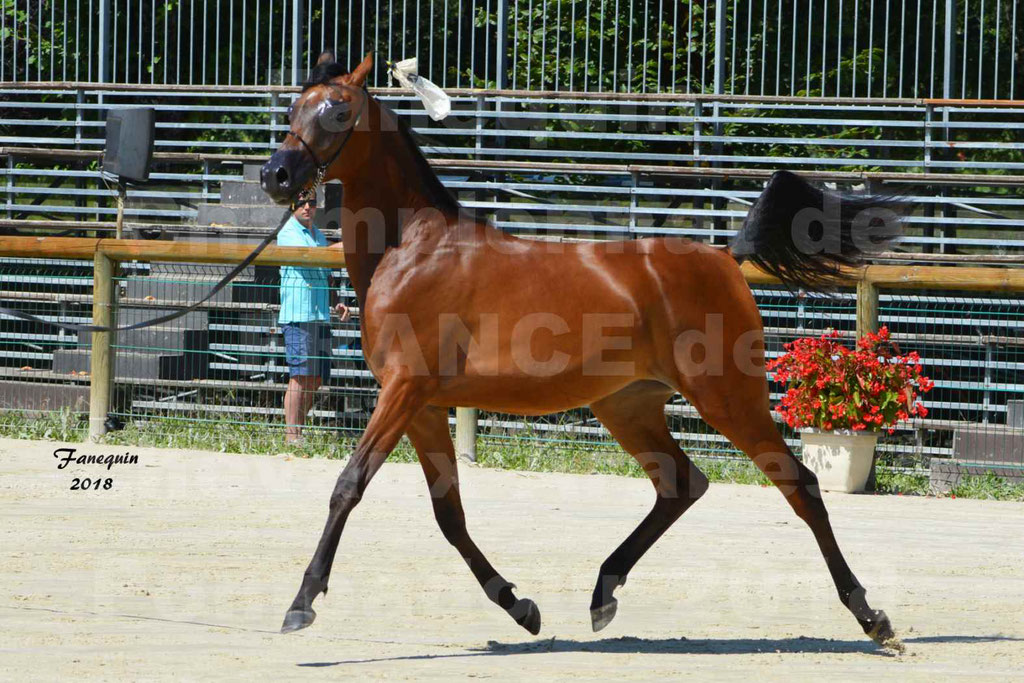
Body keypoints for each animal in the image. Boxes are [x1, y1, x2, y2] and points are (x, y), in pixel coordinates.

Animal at [262, 50, 905, 651]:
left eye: (337, 111)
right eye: (293, 108)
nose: (276, 175)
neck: (415, 249)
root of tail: (725, 259)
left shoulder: (404, 391)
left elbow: (349, 485)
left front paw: (300, 604)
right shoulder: (420, 406)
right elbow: (450, 514)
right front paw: (521, 608)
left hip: (727, 397)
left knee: (800, 486)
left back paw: (873, 618)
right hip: (627, 405)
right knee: (680, 484)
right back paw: (602, 594)